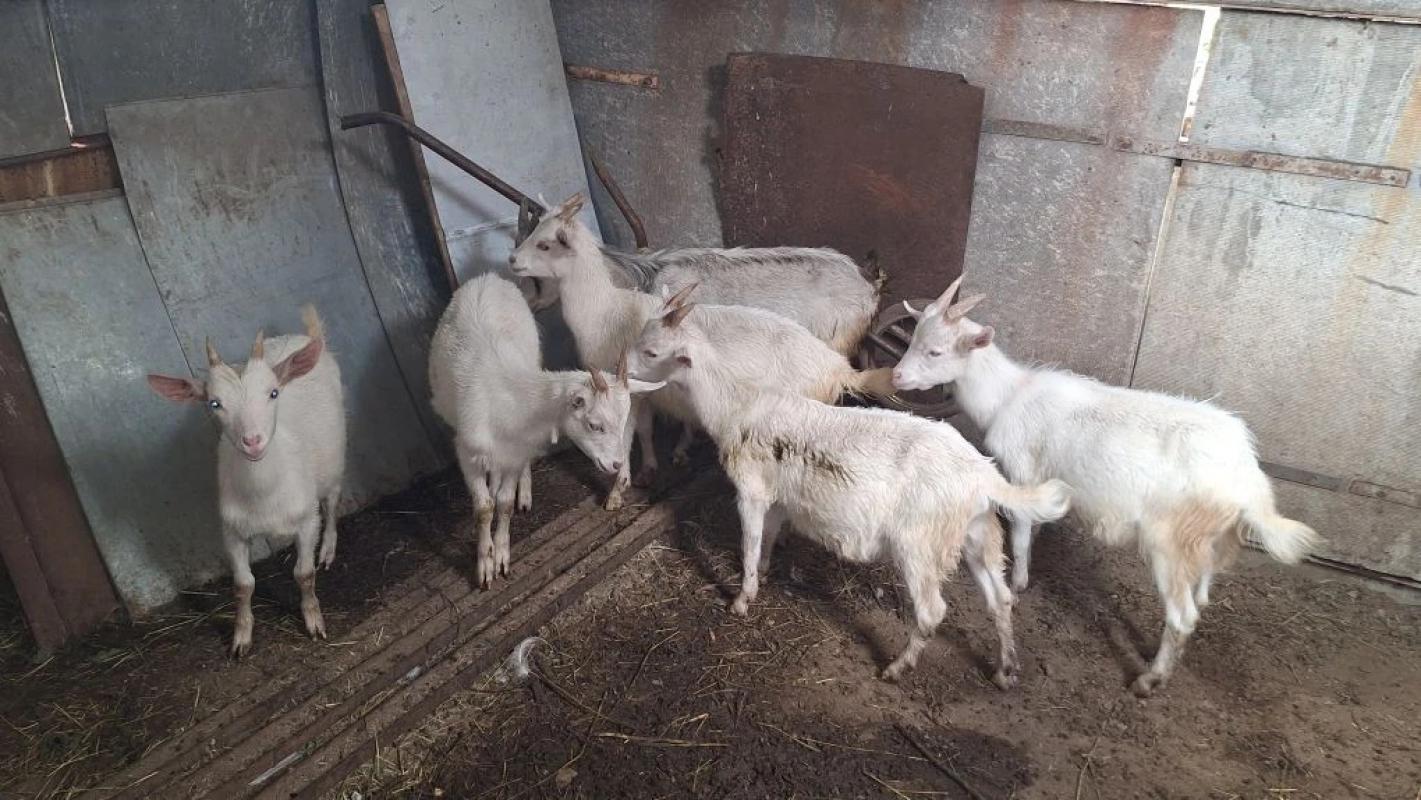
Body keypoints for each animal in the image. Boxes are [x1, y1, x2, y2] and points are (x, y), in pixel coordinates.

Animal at [148, 306, 342, 656]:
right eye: (214, 403)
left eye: (273, 392)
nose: (252, 442)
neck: (264, 493)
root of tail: (304, 337)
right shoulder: (232, 531)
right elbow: (243, 585)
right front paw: (241, 638)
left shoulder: (306, 520)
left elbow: (304, 574)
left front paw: (314, 622)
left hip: (334, 461)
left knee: (332, 502)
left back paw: (328, 549)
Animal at [428, 273, 663, 586]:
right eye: (594, 424)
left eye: (625, 419)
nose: (615, 464)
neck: (506, 394)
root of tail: (489, 277)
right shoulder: (468, 452)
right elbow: (483, 508)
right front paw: (485, 565)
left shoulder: (516, 450)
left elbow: (503, 503)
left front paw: (501, 555)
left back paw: (523, 494)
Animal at [508, 194, 894, 510]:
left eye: (545, 243)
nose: (511, 260)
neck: (606, 308)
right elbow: (646, 429)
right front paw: (654, 465)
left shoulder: (623, 391)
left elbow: (629, 431)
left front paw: (619, 489)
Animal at [627, 299, 1072, 684]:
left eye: (651, 352)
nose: (618, 374)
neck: (737, 404)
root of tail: (982, 475)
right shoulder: (779, 495)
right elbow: (768, 536)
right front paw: (767, 572)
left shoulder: (751, 490)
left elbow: (750, 544)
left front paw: (742, 598)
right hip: (977, 534)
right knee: (1001, 600)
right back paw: (1006, 670)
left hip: (920, 545)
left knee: (932, 612)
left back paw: (897, 667)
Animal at [891, 277, 1321, 696]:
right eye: (912, 339)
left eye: (935, 351)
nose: (896, 375)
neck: (1008, 395)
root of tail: (1248, 476)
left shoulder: (1023, 471)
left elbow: (1022, 535)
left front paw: (1020, 580)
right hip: (1211, 536)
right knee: (1203, 584)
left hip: (1170, 539)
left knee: (1182, 615)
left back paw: (1149, 680)